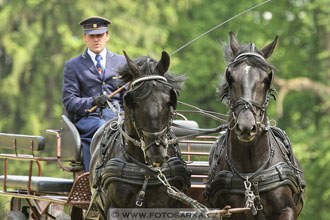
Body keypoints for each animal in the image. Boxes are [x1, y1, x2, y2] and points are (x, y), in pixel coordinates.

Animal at [204, 32, 306, 220]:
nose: (246, 126)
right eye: (230, 77)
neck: (250, 176)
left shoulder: (287, 210)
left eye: (267, 79)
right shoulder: (226, 212)